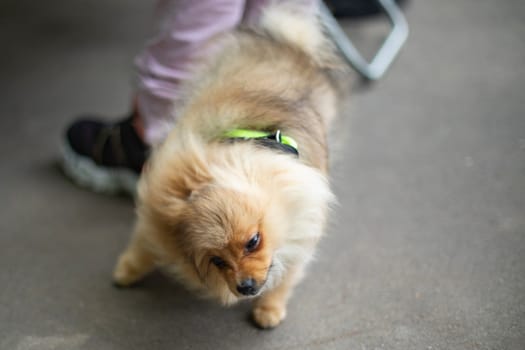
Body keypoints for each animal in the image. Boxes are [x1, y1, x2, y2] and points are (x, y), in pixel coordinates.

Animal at [112, 4, 338, 330]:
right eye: (216, 261)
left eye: (253, 242)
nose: (245, 287)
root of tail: (285, 40)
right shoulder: (159, 204)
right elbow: (144, 242)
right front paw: (128, 269)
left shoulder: (302, 227)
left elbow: (286, 277)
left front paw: (269, 309)